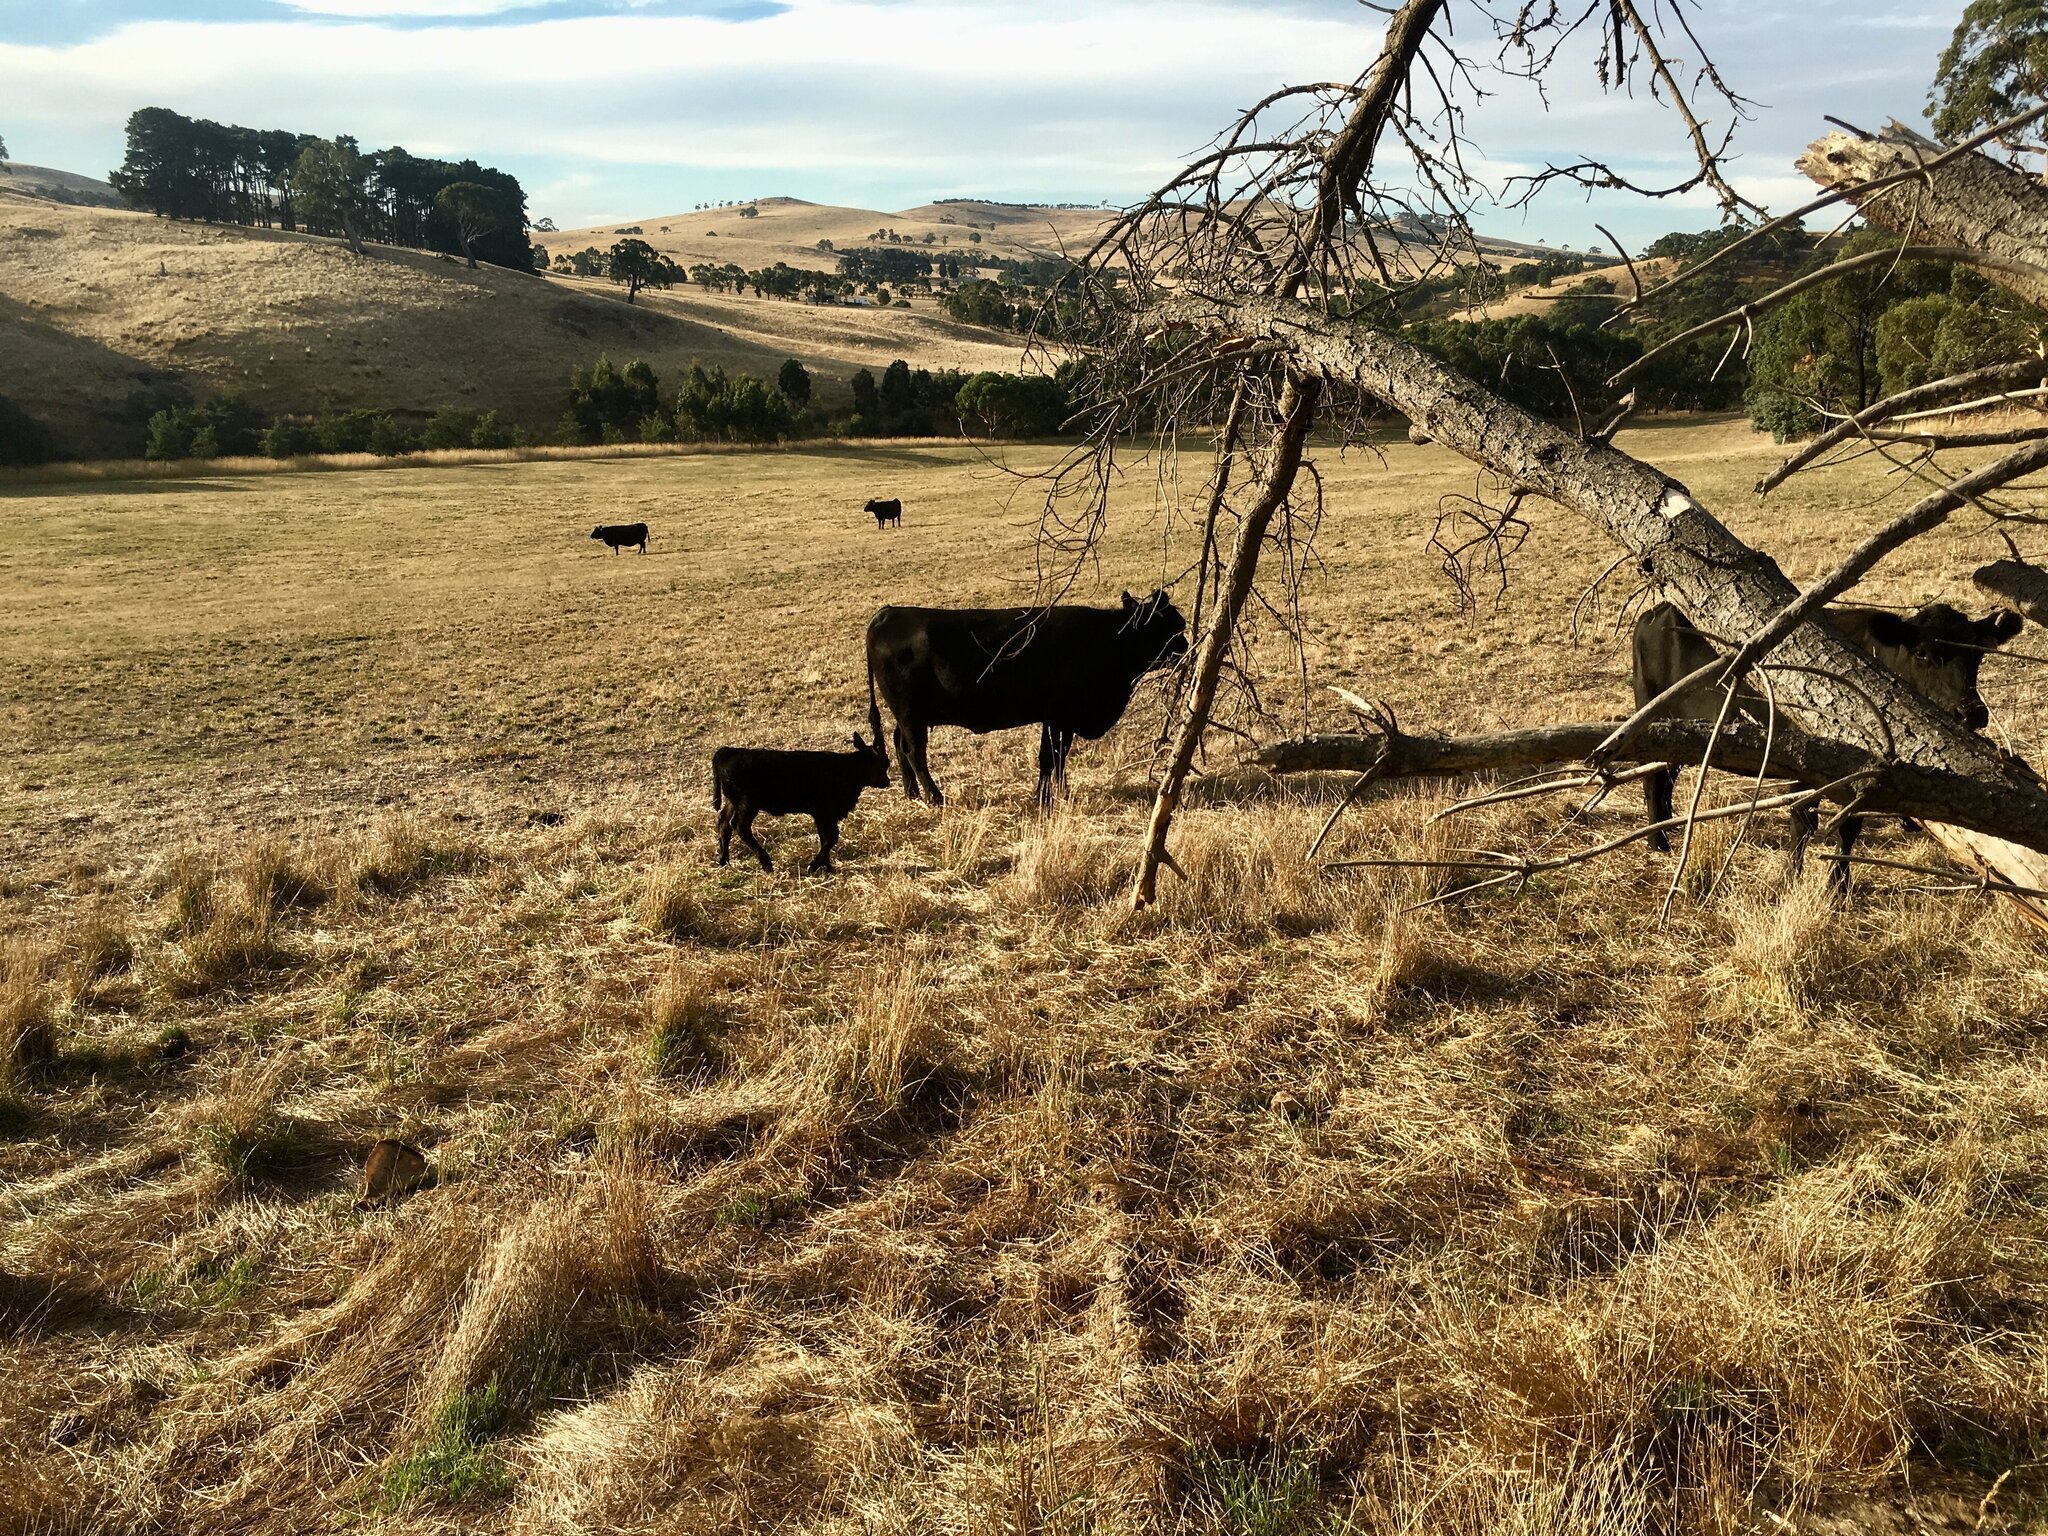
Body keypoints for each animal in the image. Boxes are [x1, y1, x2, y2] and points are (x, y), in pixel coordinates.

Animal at [712, 733, 892, 873]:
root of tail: (728, 751)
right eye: (886, 762)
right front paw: (814, 865)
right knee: (739, 826)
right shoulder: (824, 812)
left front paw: (827, 867)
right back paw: (766, 863)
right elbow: (831, 837)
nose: (887, 781)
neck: (848, 770)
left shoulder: (823, 815)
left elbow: (825, 837)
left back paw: (724, 860)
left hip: (733, 802)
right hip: (747, 804)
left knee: (724, 823)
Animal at [865, 589, 1190, 808]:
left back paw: (912, 793)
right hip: (910, 713)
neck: (1109, 639)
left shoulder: (1063, 720)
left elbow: (1059, 757)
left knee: (899, 745)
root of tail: (889, 613)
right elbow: (1049, 757)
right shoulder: (1057, 715)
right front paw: (1045, 799)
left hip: (909, 715)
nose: (1188, 644)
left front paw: (1060, 792)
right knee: (914, 752)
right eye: (1170, 625)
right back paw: (935, 797)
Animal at [1631, 599, 2023, 889]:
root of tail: (1656, 611)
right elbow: (1804, 821)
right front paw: (1799, 879)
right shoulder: (1800, 757)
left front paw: (1838, 884)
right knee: (1652, 778)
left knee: (1665, 777)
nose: (1970, 712)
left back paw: (1667, 830)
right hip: (1651, 714)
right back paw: (1658, 842)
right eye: (1922, 653)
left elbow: (1849, 826)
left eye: (1978, 653)